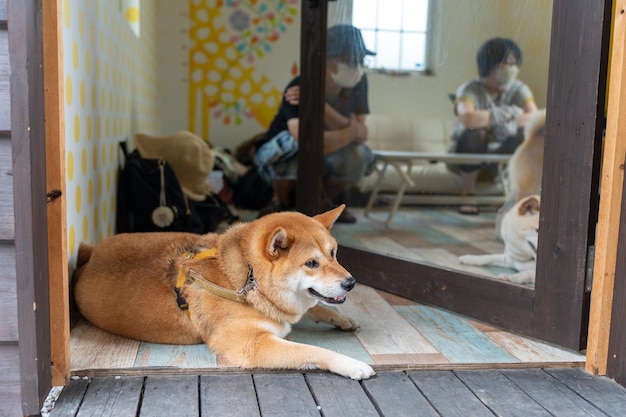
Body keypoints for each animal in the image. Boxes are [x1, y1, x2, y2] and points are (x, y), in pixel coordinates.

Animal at [73, 205, 376, 380]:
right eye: (311, 263)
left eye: (333, 253)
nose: (351, 282)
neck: (247, 280)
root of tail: (88, 260)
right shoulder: (251, 346)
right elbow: (312, 350)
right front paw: (352, 364)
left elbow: (318, 307)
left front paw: (342, 319)